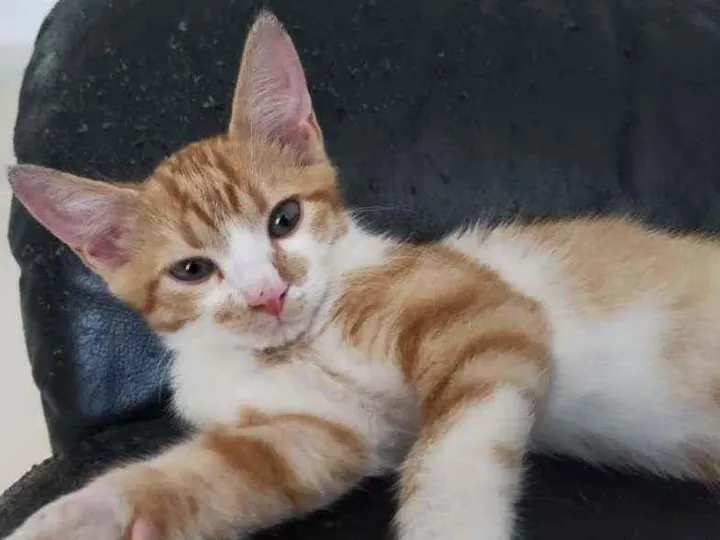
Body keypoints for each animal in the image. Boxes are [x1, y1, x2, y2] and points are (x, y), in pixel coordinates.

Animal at [6, 9, 720, 540]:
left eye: (284, 218)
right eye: (192, 269)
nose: (269, 294)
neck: (299, 346)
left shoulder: (486, 311)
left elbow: (453, 449)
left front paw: (448, 525)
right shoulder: (325, 434)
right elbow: (219, 473)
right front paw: (76, 517)